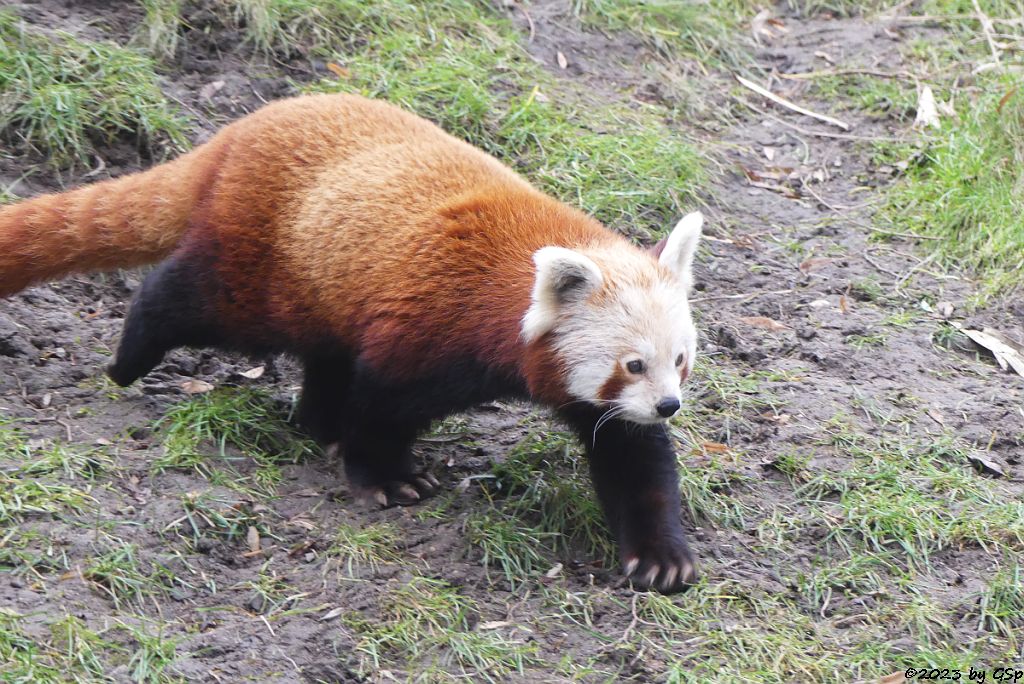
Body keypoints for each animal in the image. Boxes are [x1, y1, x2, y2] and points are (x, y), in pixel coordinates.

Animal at [0, 93, 704, 589]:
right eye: (631, 364)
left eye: (679, 362)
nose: (668, 405)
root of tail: (240, 131)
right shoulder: (427, 324)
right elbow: (383, 404)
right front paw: (386, 478)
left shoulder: (592, 400)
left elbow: (632, 456)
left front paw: (660, 555)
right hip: (262, 267)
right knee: (189, 298)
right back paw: (132, 356)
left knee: (325, 356)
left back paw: (317, 422)